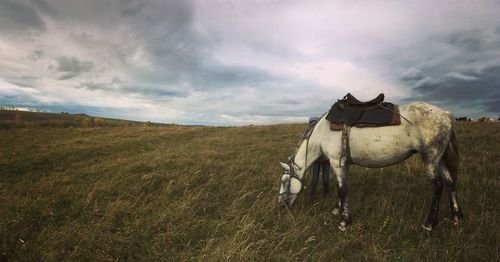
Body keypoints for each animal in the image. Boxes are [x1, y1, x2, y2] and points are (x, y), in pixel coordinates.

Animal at [278, 102, 460, 231]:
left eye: (284, 182)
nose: (281, 205)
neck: (323, 132)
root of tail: (445, 114)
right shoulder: (343, 165)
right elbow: (341, 188)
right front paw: (338, 210)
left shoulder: (336, 163)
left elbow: (342, 190)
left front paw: (344, 222)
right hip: (440, 159)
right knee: (450, 182)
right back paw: (456, 217)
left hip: (430, 158)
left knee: (438, 186)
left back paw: (430, 223)